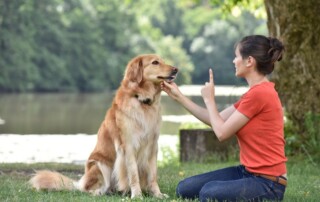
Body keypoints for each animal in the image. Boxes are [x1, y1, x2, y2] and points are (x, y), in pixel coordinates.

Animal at [29, 54, 179, 199]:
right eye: (155, 62)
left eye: (162, 61)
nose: (176, 69)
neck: (141, 100)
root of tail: (80, 183)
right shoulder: (129, 146)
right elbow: (133, 174)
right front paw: (137, 195)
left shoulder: (153, 146)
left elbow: (153, 176)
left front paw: (157, 194)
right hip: (100, 165)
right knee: (88, 190)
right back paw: (100, 193)